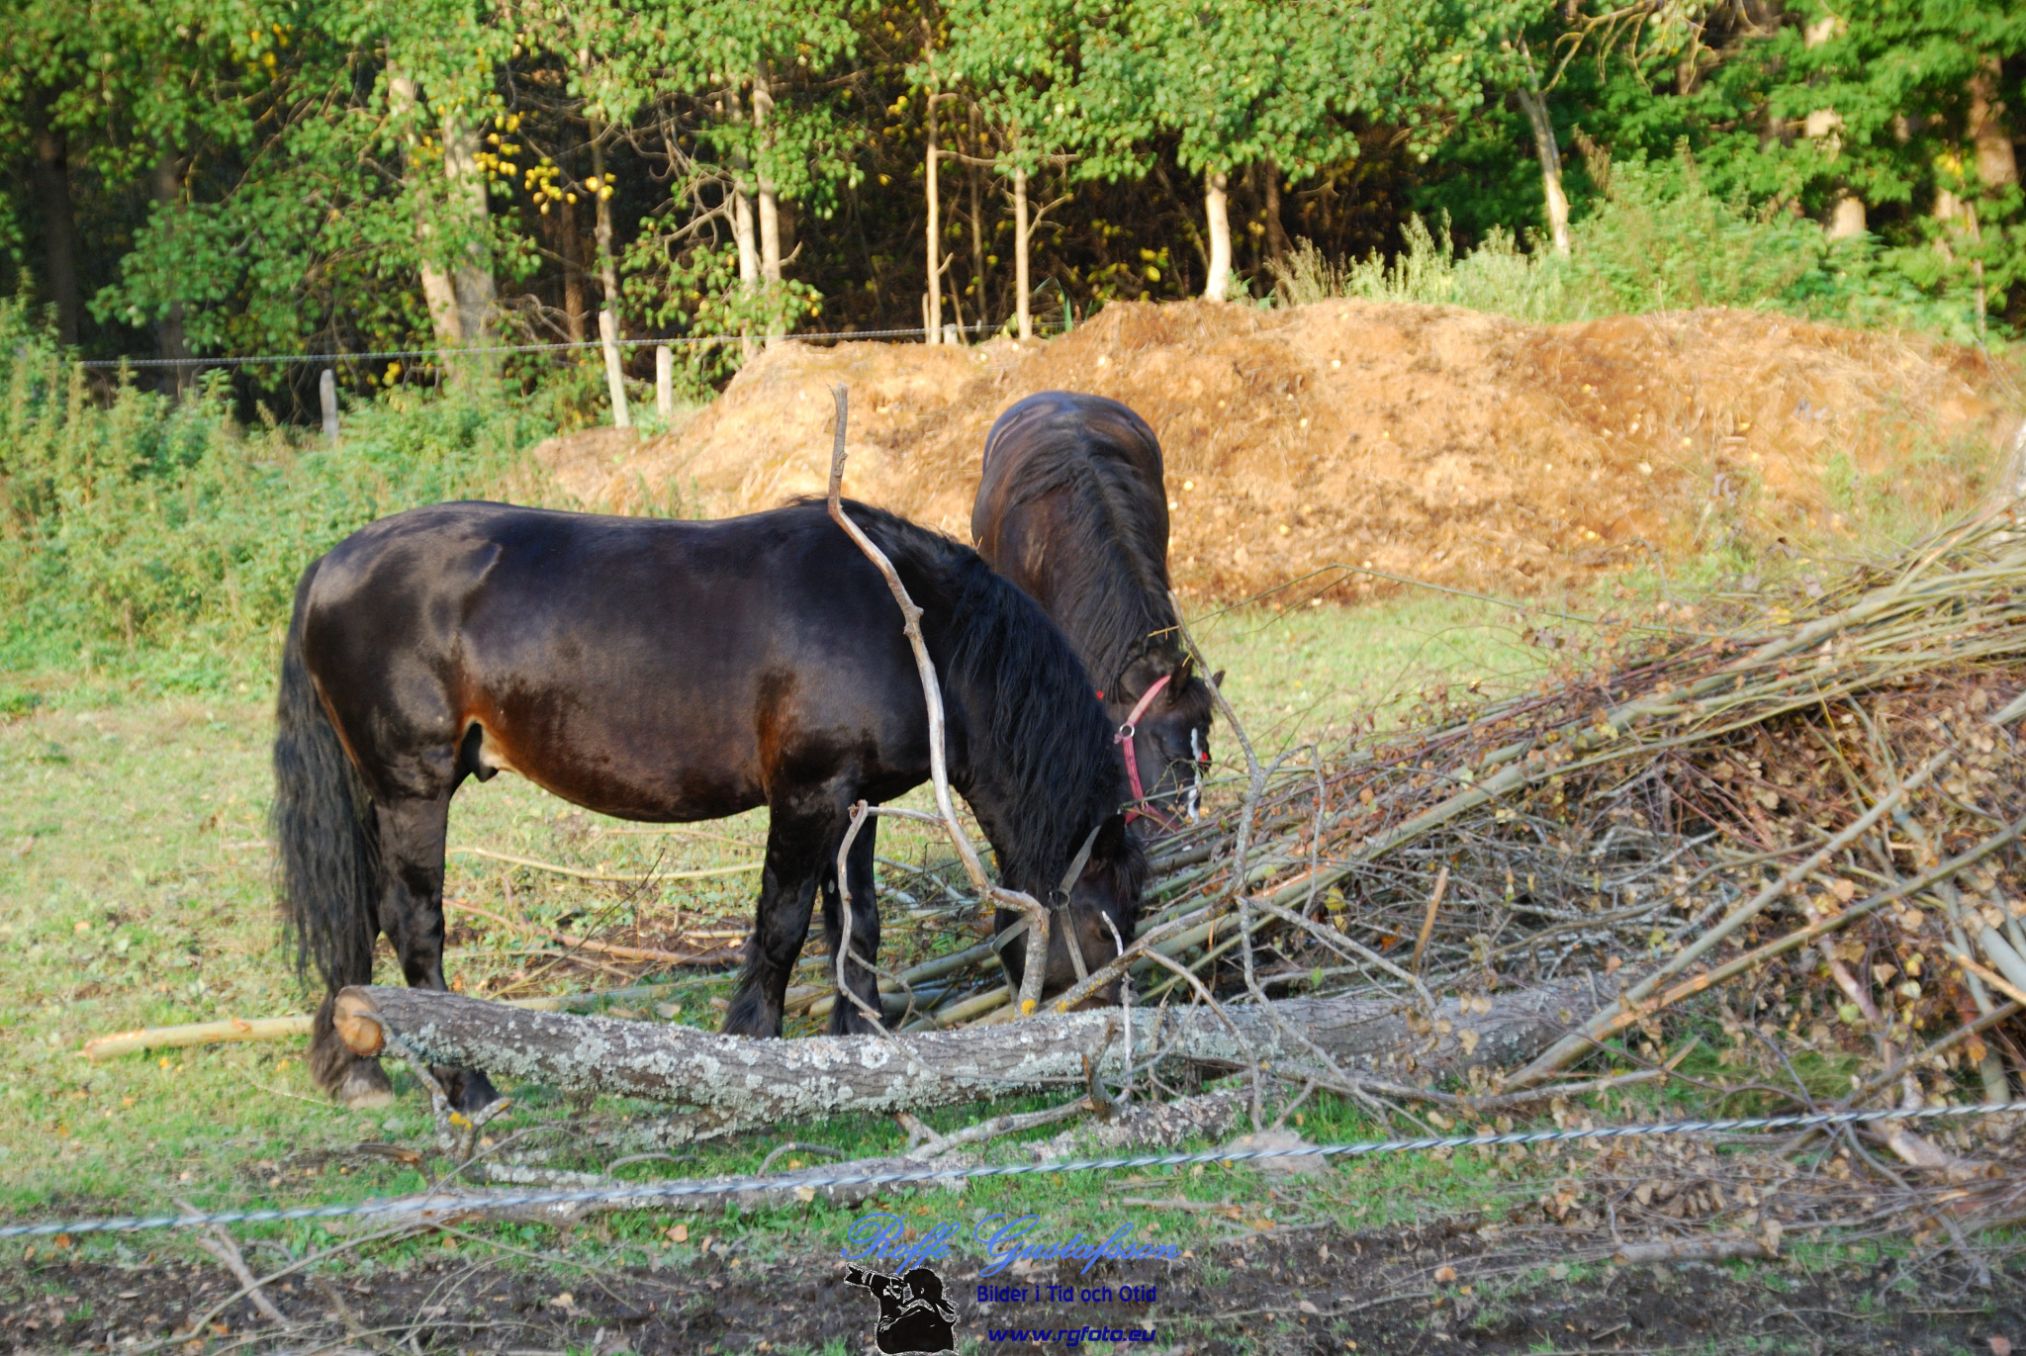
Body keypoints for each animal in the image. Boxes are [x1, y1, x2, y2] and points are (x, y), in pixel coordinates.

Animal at [273, 500, 1142, 1110]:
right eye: (1109, 925)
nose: (1117, 1019)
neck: (902, 621)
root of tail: (328, 565)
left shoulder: (855, 802)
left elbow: (855, 923)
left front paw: (859, 1045)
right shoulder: (808, 793)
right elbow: (783, 923)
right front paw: (751, 1046)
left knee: (361, 910)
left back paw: (356, 1067)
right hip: (413, 788)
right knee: (412, 922)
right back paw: (471, 1086)